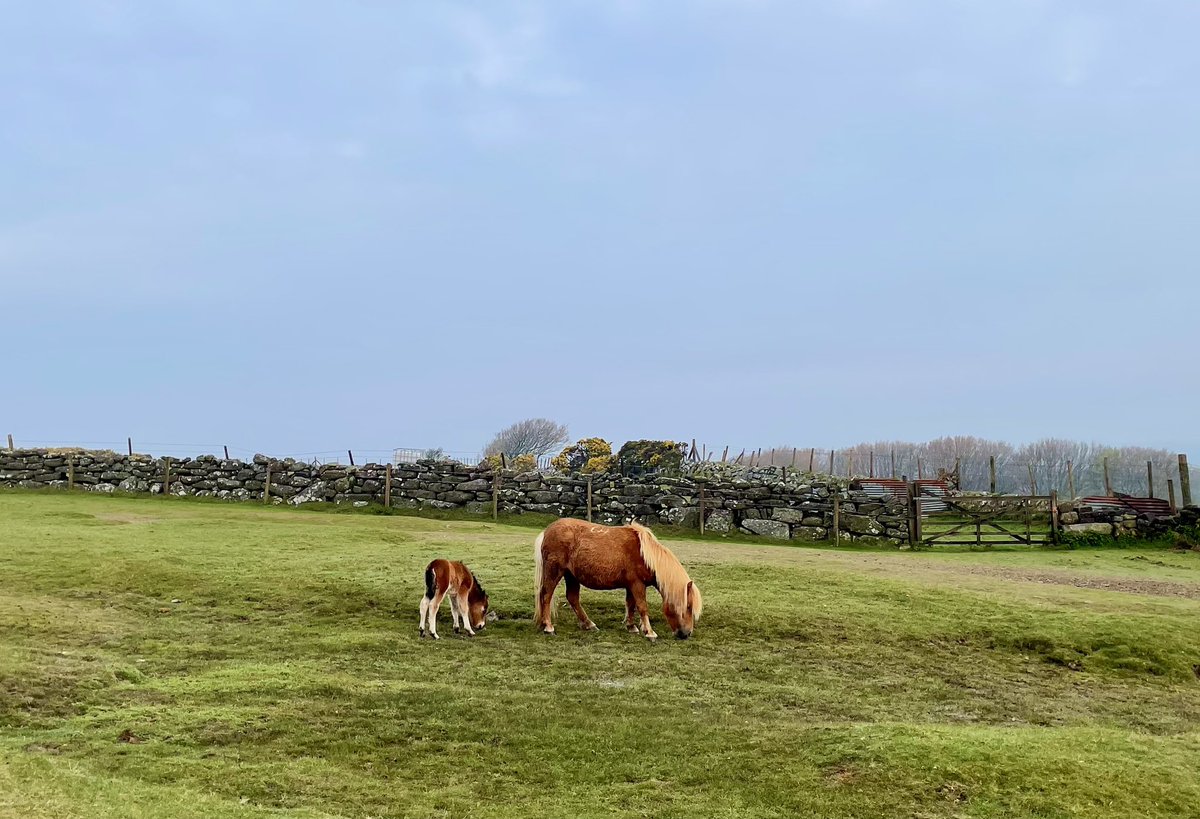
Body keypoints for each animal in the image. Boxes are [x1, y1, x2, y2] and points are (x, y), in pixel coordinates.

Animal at [533, 518, 703, 640]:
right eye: (688, 607)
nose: (686, 634)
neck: (645, 555)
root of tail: (547, 532)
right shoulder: (637, 584)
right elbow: (642, 607)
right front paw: (650, 632)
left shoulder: (631, 585)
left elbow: (631, 605)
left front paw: (632, 627)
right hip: (554, 572)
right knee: (546, 596)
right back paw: (548, 627)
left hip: (571, 576)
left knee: (572, 598)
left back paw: (588, 624)